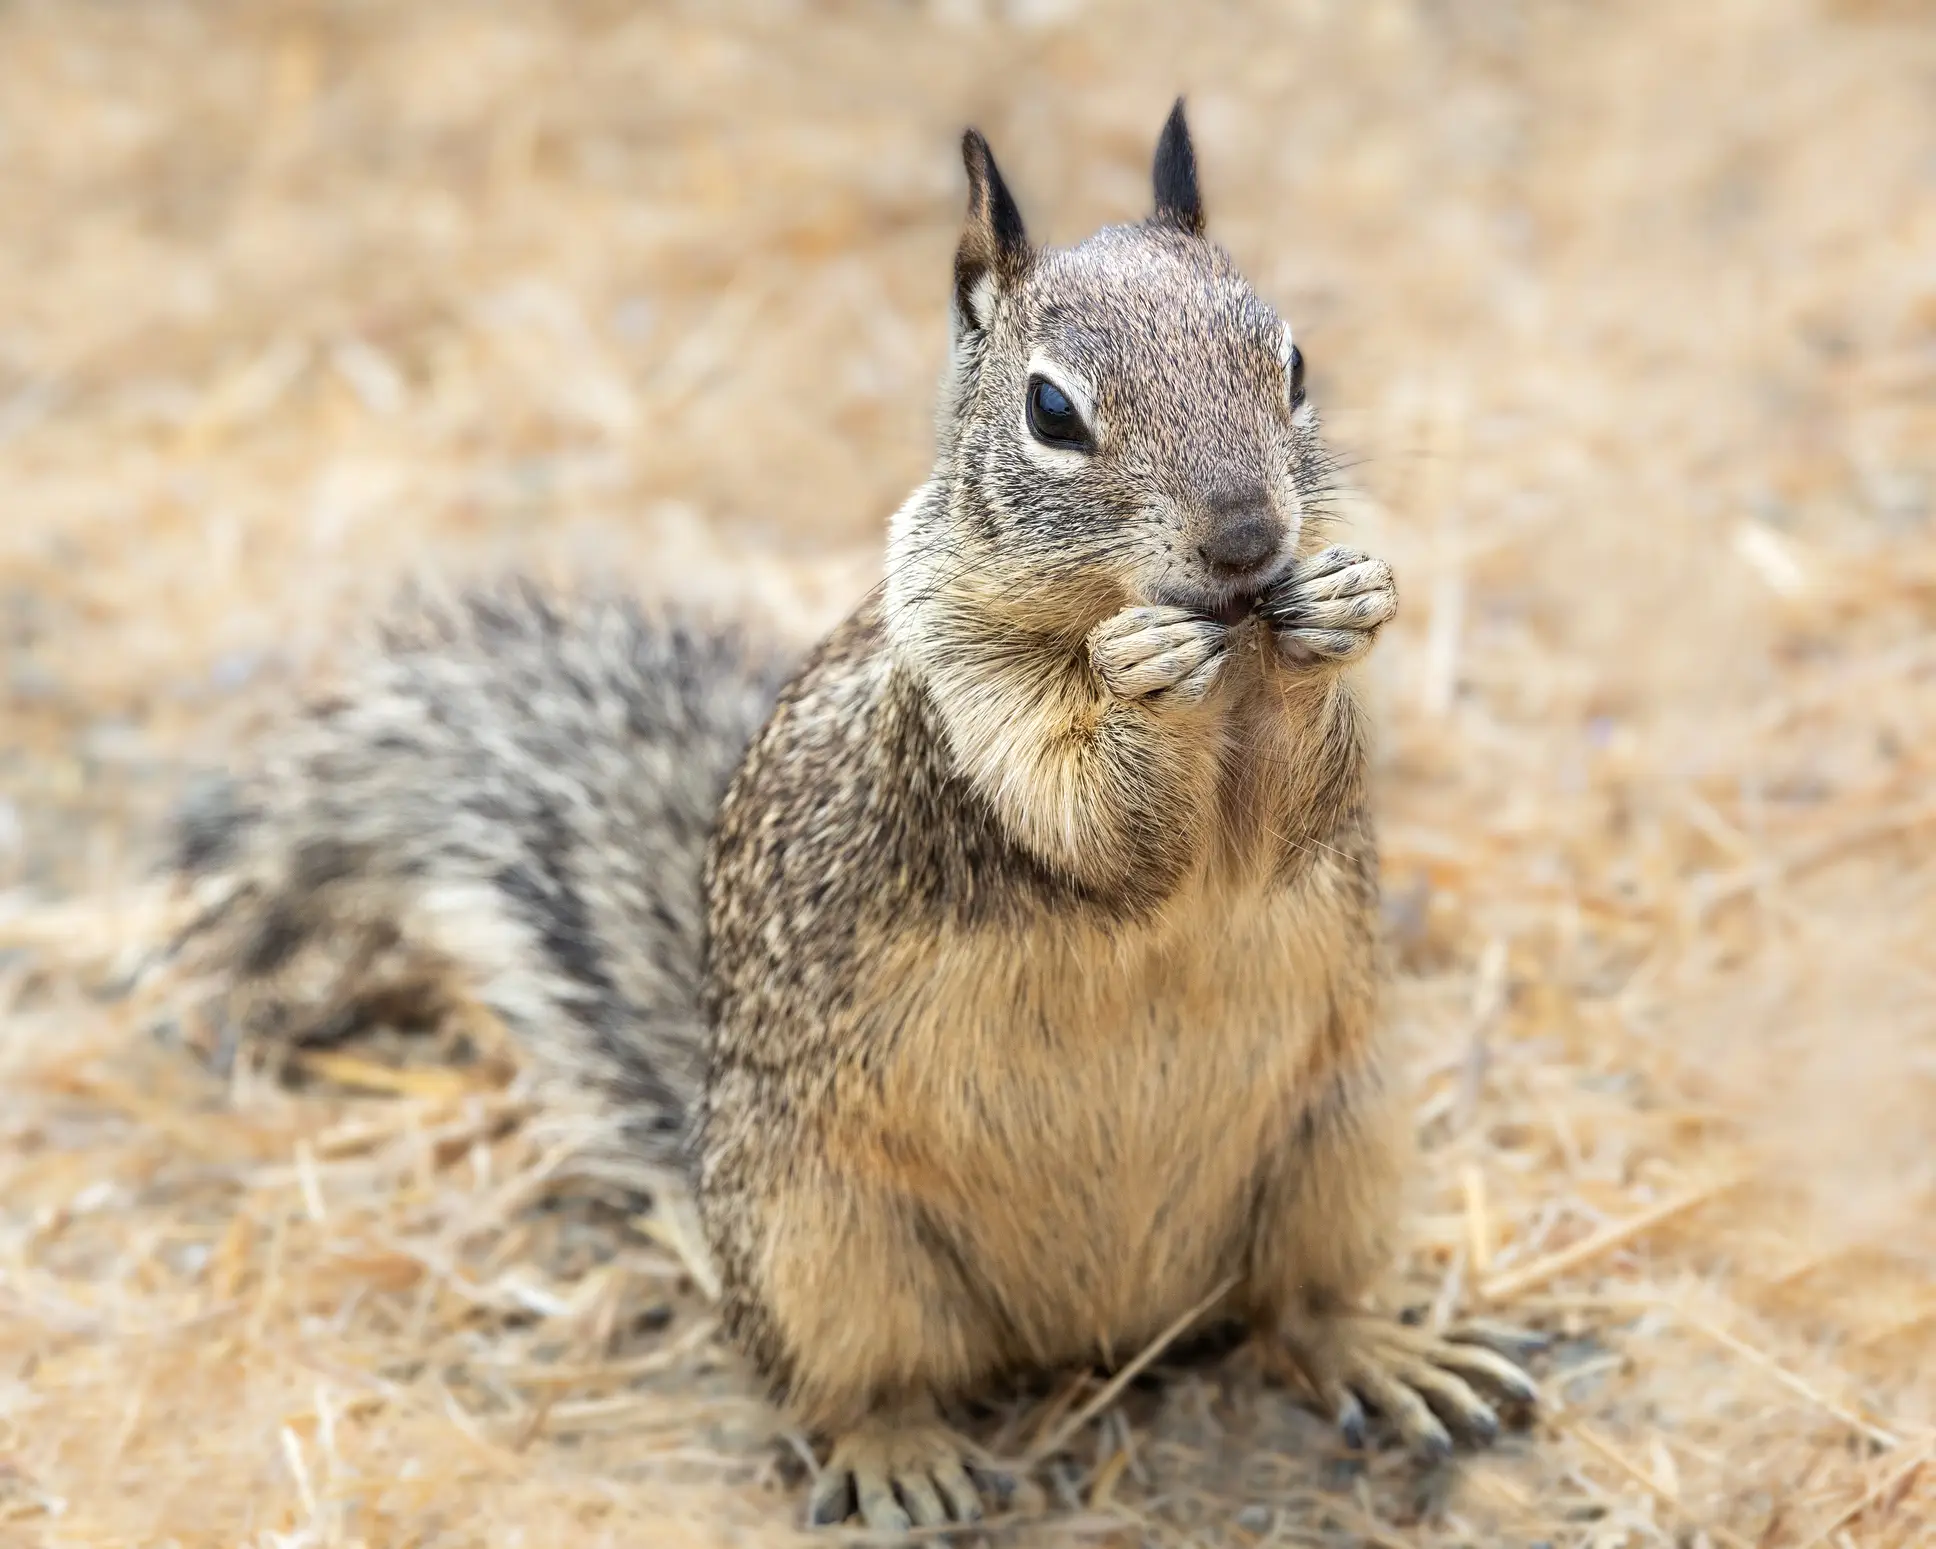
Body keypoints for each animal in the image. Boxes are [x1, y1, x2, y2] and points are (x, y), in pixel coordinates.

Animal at [166, 101, 1539, 1534]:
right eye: (1051, 410)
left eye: (1293, 361)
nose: (1245, 540)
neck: (1228, 660)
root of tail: (1098, 1328)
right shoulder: (959, 738)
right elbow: (1100, 825)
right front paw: (1143, 680)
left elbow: (1288, 811)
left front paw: (1339, 606)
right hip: (819, 1243)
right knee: (851, 1385)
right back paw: (900, 1454)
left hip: (1343, 1139)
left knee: (1291, 1312)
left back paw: (1388, 1350)